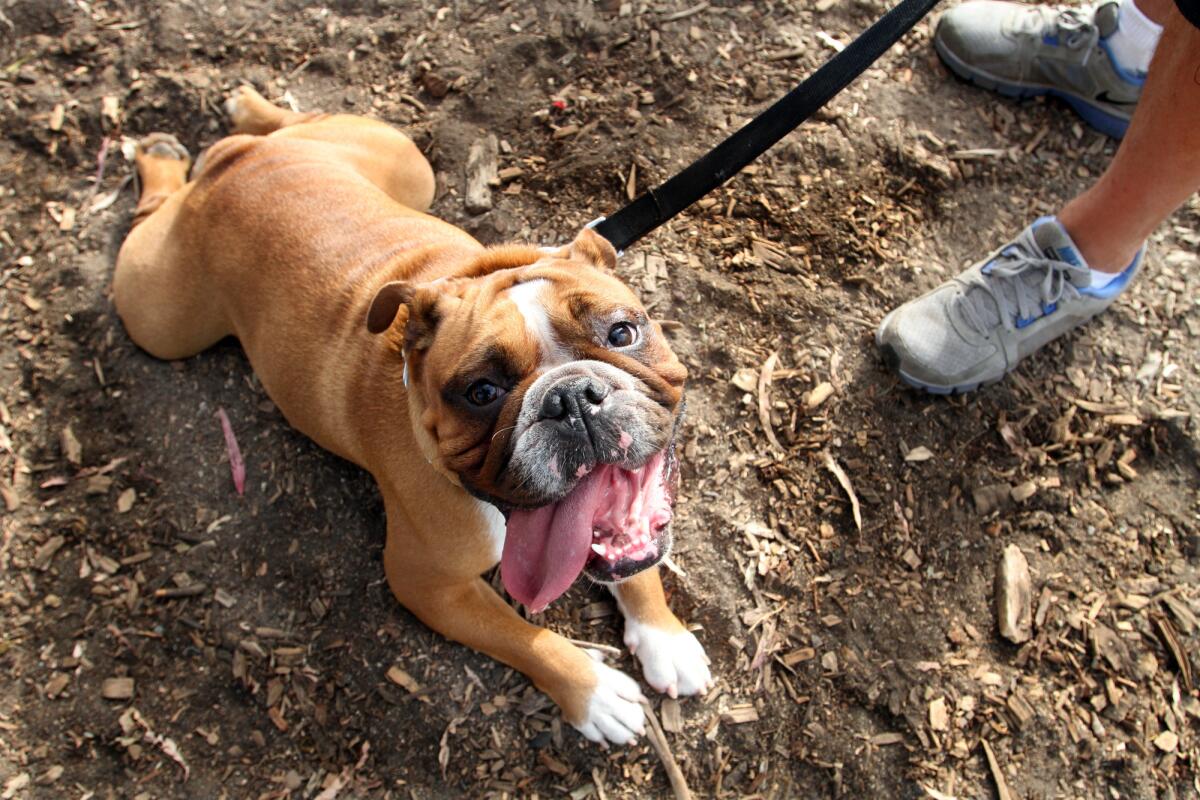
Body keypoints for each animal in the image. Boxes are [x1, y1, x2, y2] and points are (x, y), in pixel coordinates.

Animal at [110, 87, 710, 743]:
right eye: (480, 392)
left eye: (622, 333)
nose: (571, 396)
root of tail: (235, 165)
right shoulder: (428, 584)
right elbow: (524, 636)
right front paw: (593, 691)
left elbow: (636, 554)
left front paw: (662, 634)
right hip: (160, 320)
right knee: (150, 218)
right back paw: (162, 156)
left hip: (403, 165)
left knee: (299, 122)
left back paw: (249, 109)